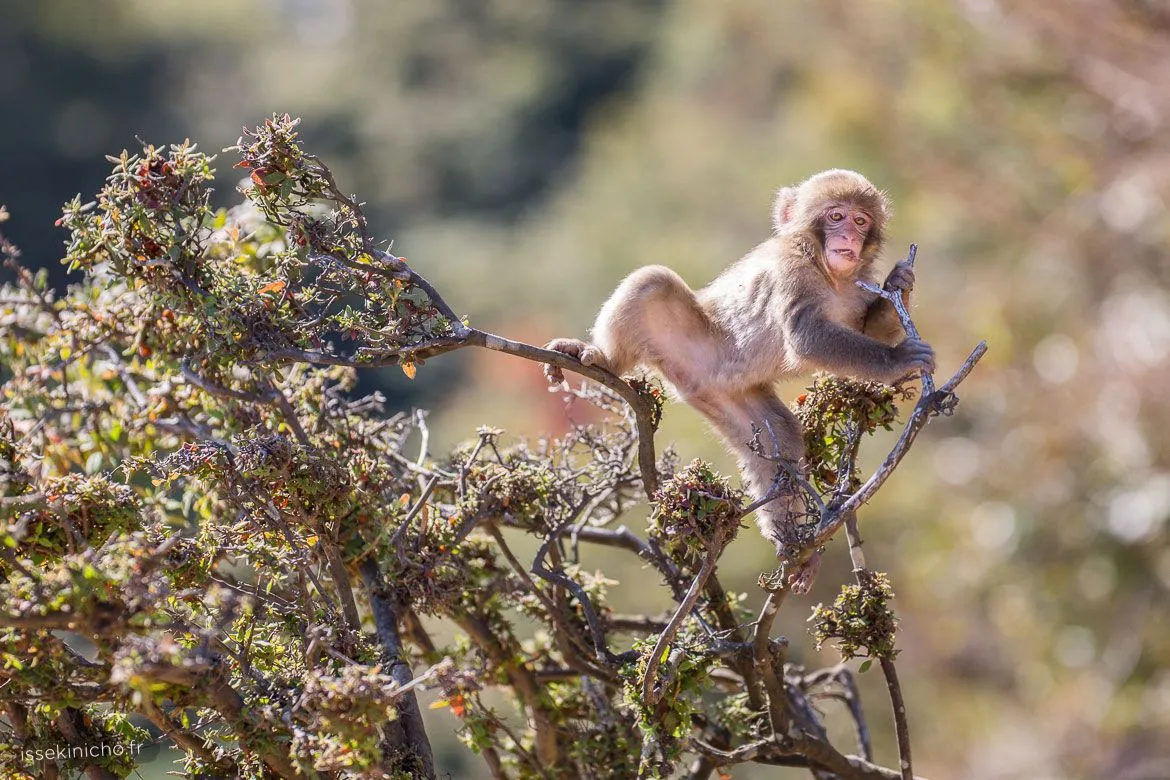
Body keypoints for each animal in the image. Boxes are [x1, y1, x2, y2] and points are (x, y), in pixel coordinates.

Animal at [543, 170, 934, 589]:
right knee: (652, 283)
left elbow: (867, 330)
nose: (849, 237)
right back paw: (604, 358)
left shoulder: (860, 283)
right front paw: (898, 360)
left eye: (861, 221)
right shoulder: (791, 267)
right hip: (690, 342)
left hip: (731, 396)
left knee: (781, 437)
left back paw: (795, 545)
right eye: (835, 216)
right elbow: (807, 337)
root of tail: (693, 380)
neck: (833, 277)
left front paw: (899, 283)